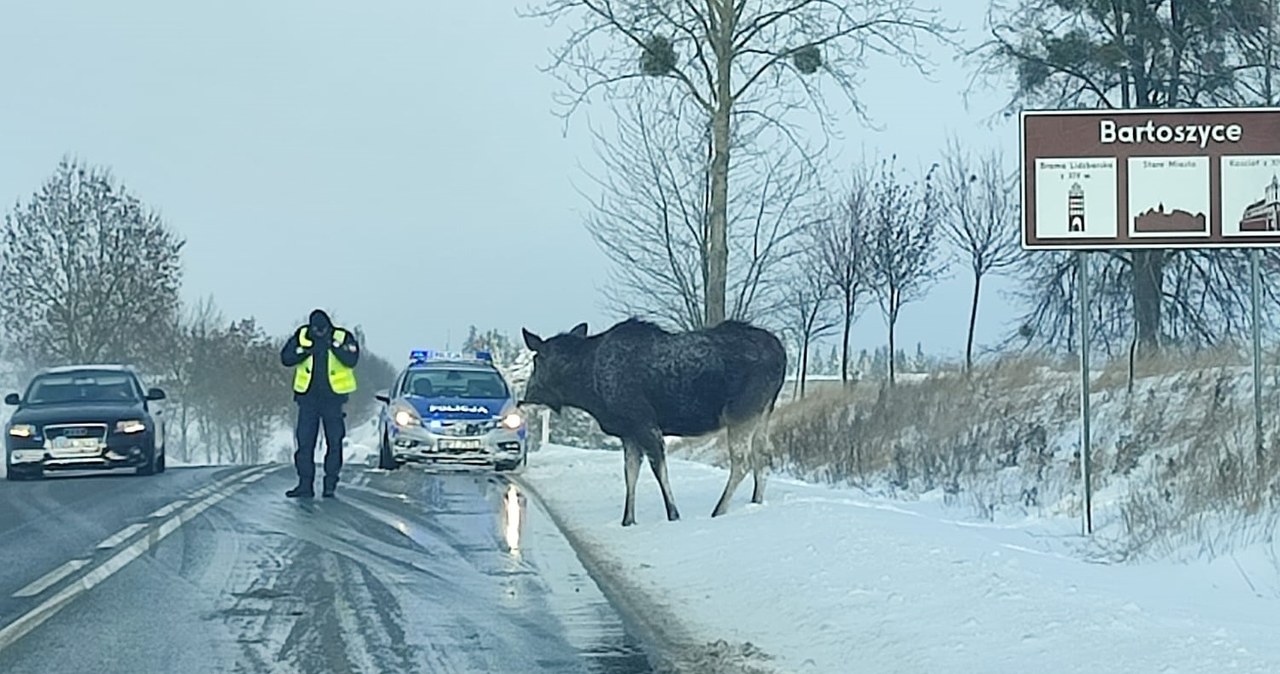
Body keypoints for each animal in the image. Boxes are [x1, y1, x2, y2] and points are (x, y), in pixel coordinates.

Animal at [522, 321, 788, 526]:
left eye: (536, 360)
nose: (526, 395)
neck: (588, 388)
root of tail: (782, 354)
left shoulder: (644, 423)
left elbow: (658, 469)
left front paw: (673, 515)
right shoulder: (628, 432)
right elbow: (630, 474)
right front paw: (627, 520)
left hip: (741, 411)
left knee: (742, 461)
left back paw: (719, 510)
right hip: (764, 411)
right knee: (763, 456)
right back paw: (755, 501)